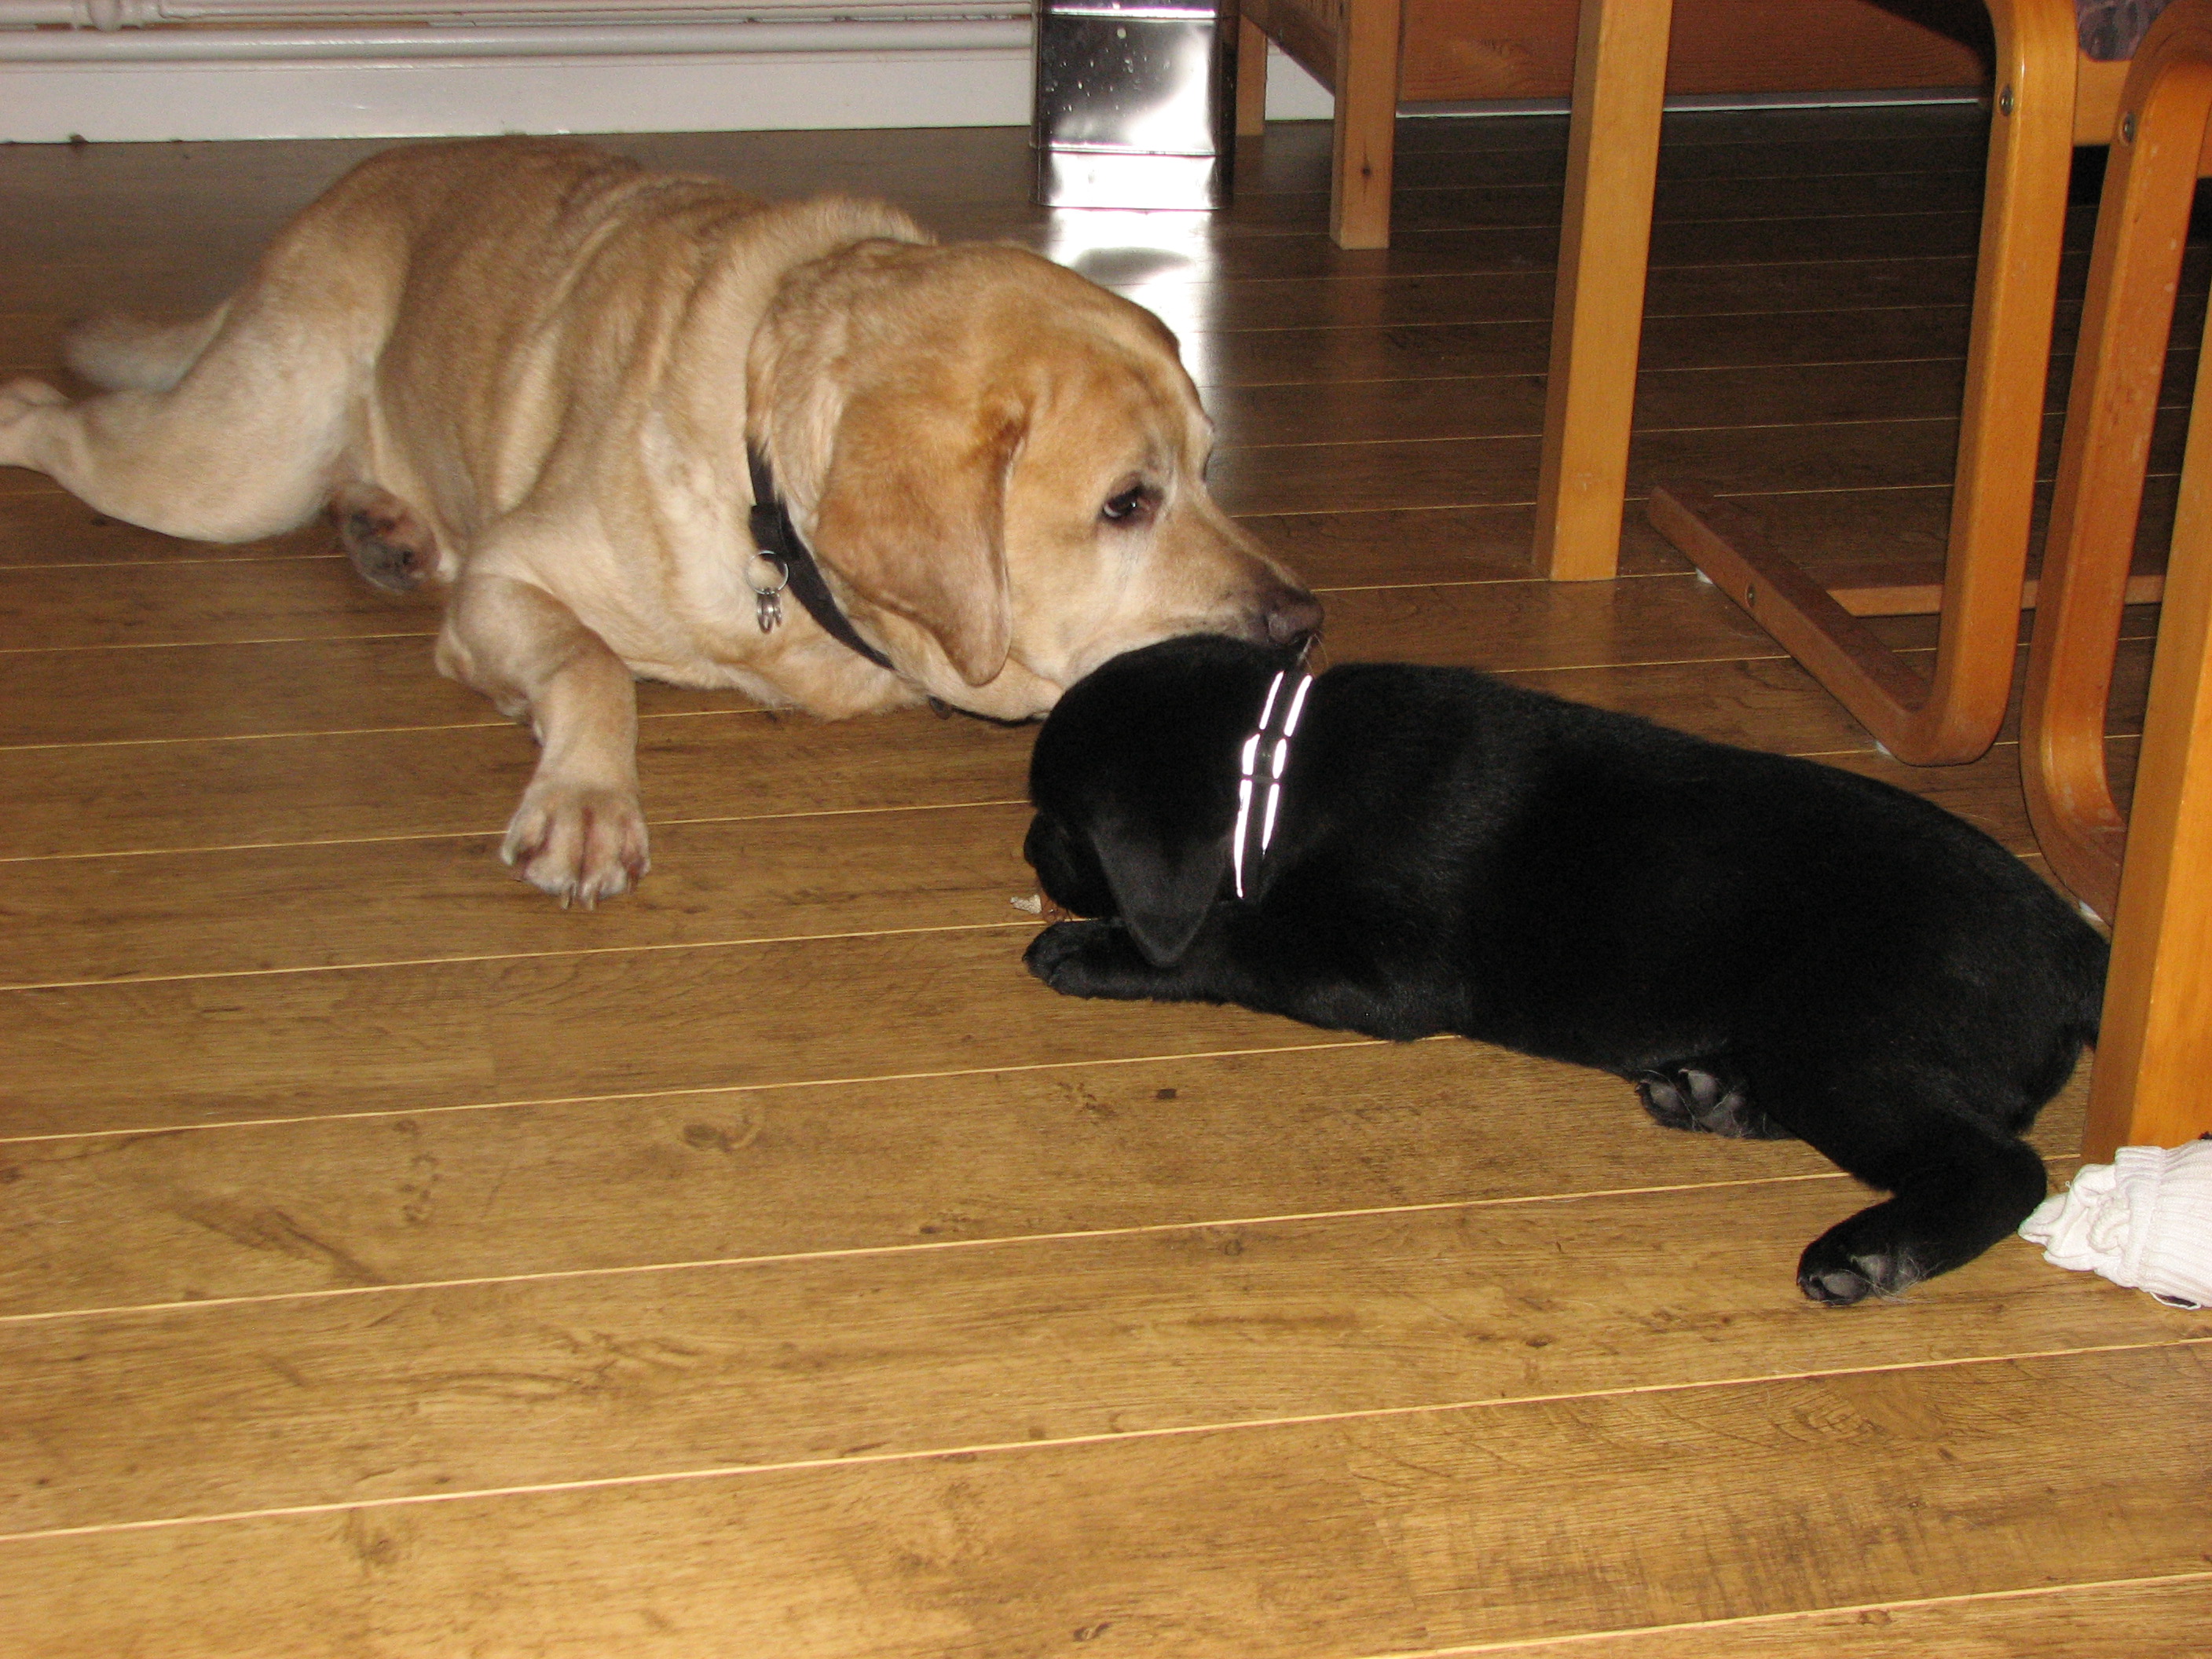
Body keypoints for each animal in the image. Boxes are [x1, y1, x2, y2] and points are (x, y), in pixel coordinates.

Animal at [0, 137, 1317, 904]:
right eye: (1126, 504)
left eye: (1212, 467)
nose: (1307, 621)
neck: (765, 501)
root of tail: (333, 192)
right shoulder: (509, 577)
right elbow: (591, 665)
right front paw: (586, 803)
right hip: (230, 466)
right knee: (64, 423)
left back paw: (385, 525)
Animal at [1021, 636, 2109, 1304]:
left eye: (1057, 820)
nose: (1028, 851)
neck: (1285, 768)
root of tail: (2077, 947)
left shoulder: (1383, 971)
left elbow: (1227, 938)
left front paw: (1091, 949)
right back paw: (1708, 1093)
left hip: (1849, 1032)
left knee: (2002, 1165)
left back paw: (1868, 1252)